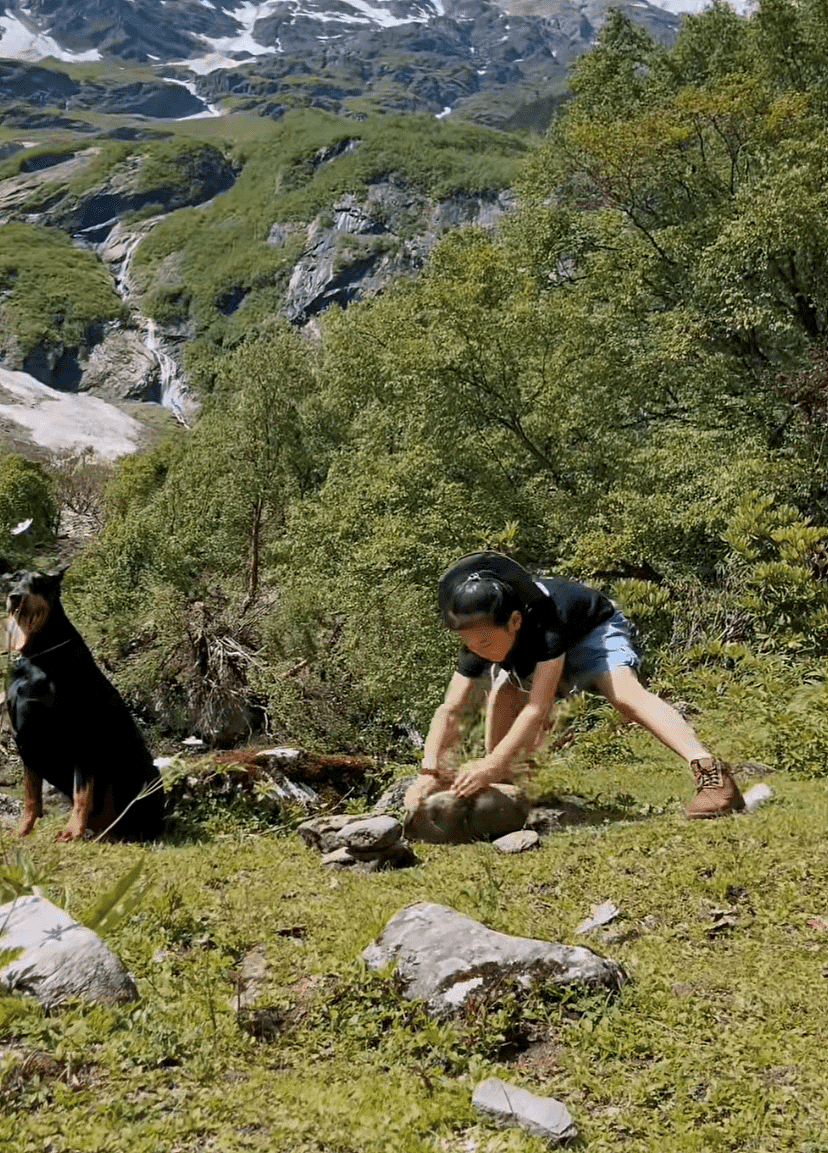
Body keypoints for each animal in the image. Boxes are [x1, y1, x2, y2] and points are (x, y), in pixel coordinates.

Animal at [3, 571, 163, 843]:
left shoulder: (82, 737)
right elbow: (31, 796)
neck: (35, 658)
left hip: (146, 772)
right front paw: (22, 830)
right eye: (13, 580)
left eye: (38, 583)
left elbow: (82, 794)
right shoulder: (24, 739)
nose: (15, 597)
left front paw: (71, 831)